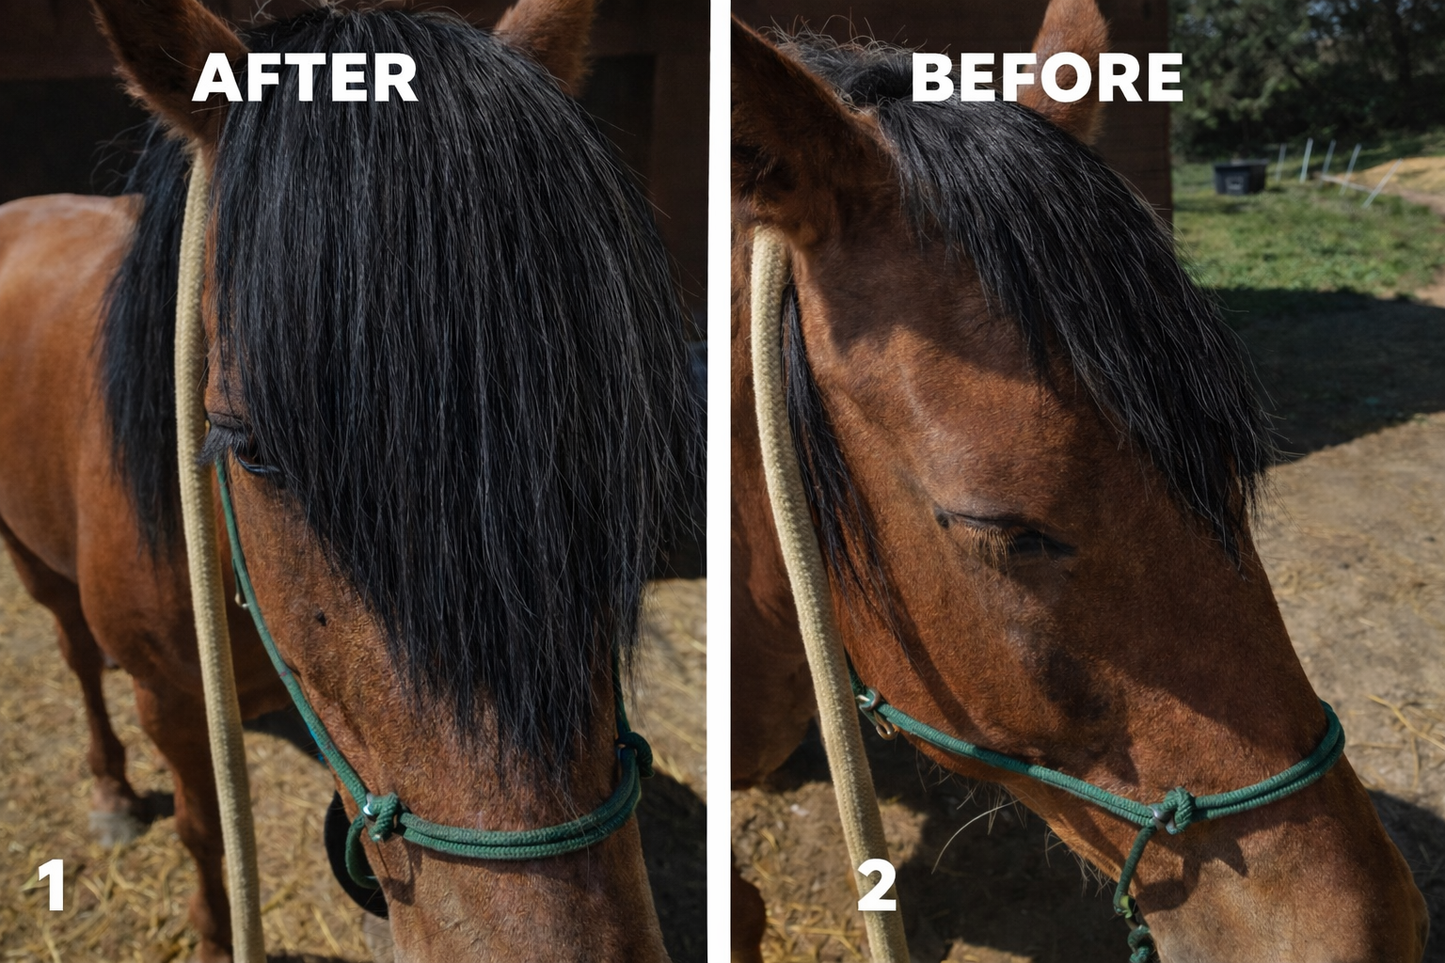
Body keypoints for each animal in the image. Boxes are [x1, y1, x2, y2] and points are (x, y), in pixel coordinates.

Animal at [0, 0, 700, 960]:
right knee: (72, 649)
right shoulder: (171, 701)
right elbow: (203, 829)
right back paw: (109, 789)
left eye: (609, 417)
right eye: (250, 446)